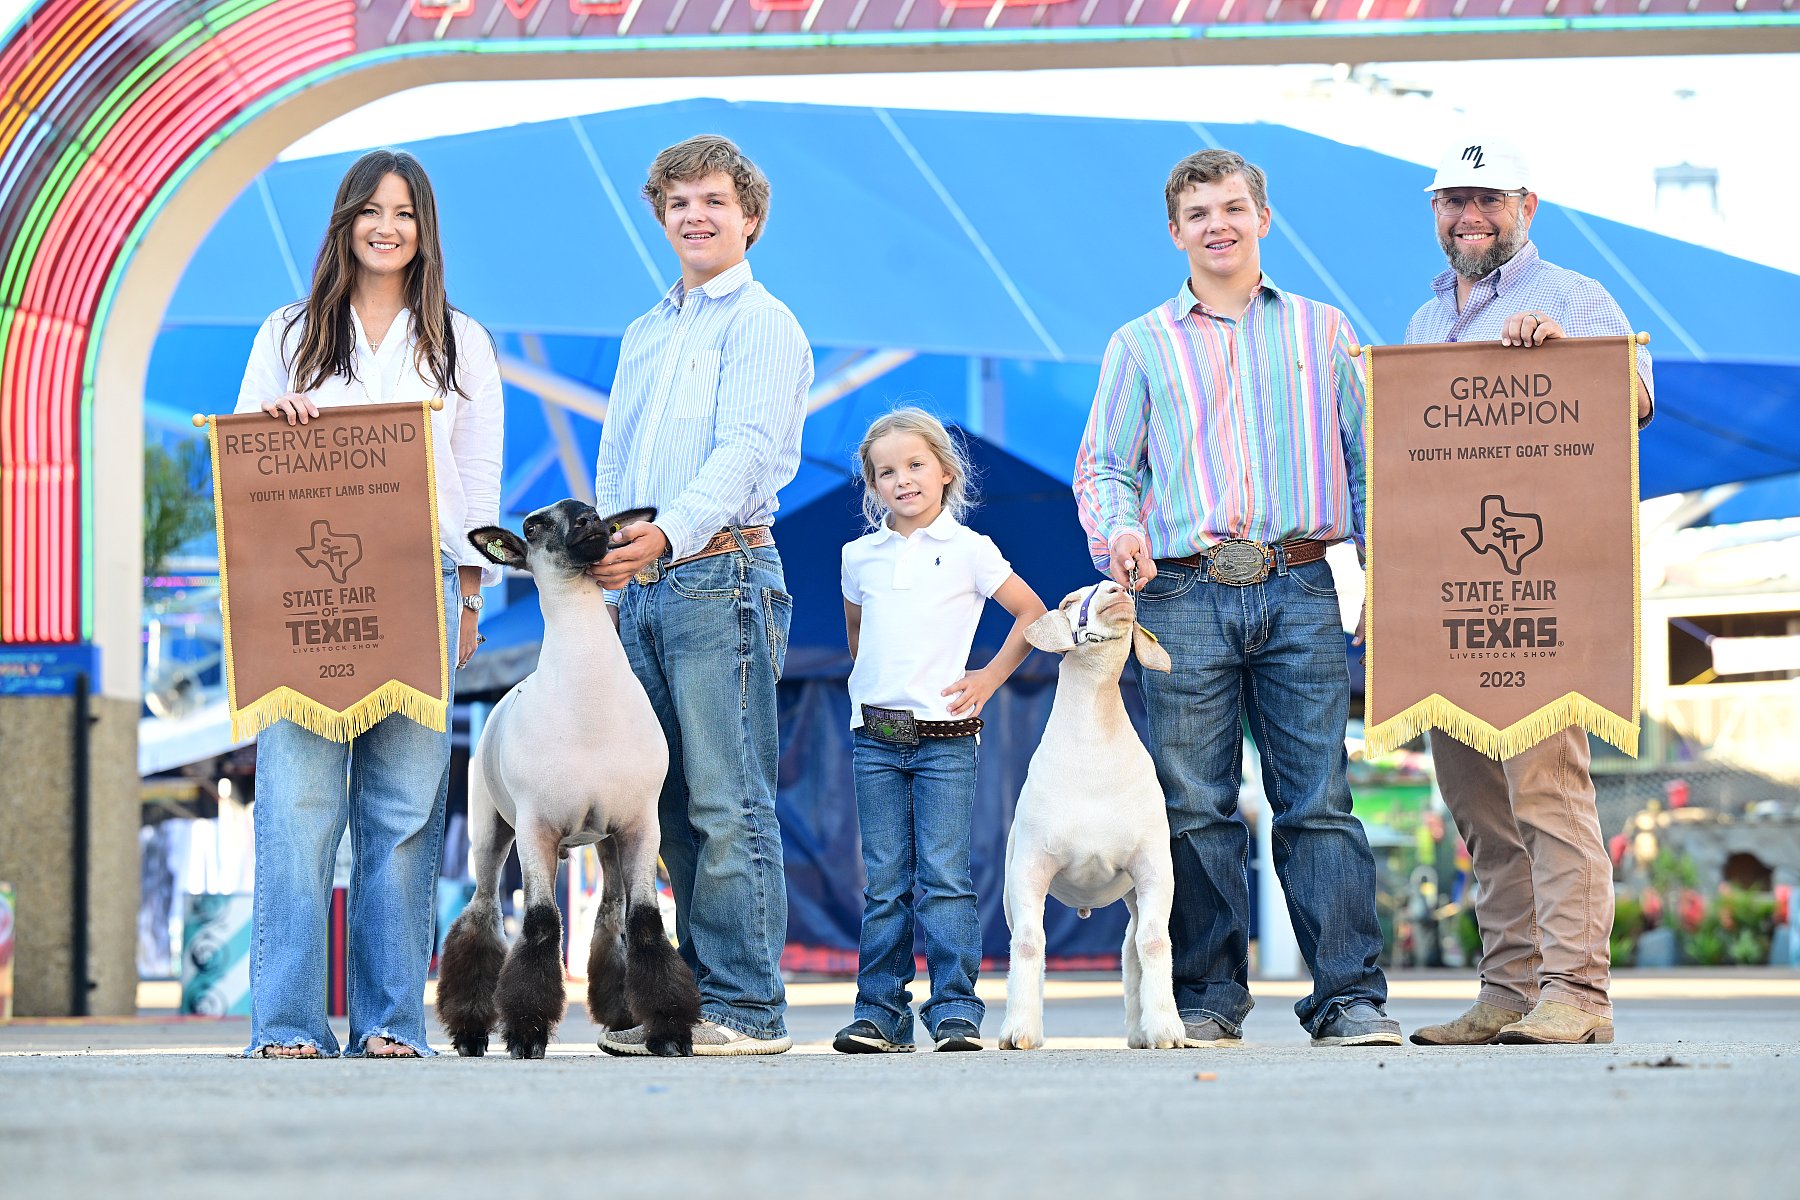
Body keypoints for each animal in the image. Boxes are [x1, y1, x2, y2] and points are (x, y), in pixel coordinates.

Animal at [435, 500, 702, 1057]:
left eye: (596, 511)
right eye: (533, 525)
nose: (587, 522)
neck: (589, 703)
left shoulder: (642, 823)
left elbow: (646, 923)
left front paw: (669, 1030)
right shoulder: (536, 826)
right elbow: (539, 924)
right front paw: (526, 1033)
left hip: (605, 838)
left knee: (611, 914)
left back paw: (622, 1018)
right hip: (489, 829)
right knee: (481, 914)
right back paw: (470, 1031)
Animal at [993, 582, 1188, 1050]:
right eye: (1068, 602)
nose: (1117, 591)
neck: (1093, 757)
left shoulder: (1153, 866)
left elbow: (1155, 943)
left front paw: (1167, 1030)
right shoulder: (1029, 868)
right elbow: (1029, 943)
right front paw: (1020, 1031)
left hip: (1131, 893)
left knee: (1131, 945)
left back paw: (1138, 1032)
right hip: (1009, 891)